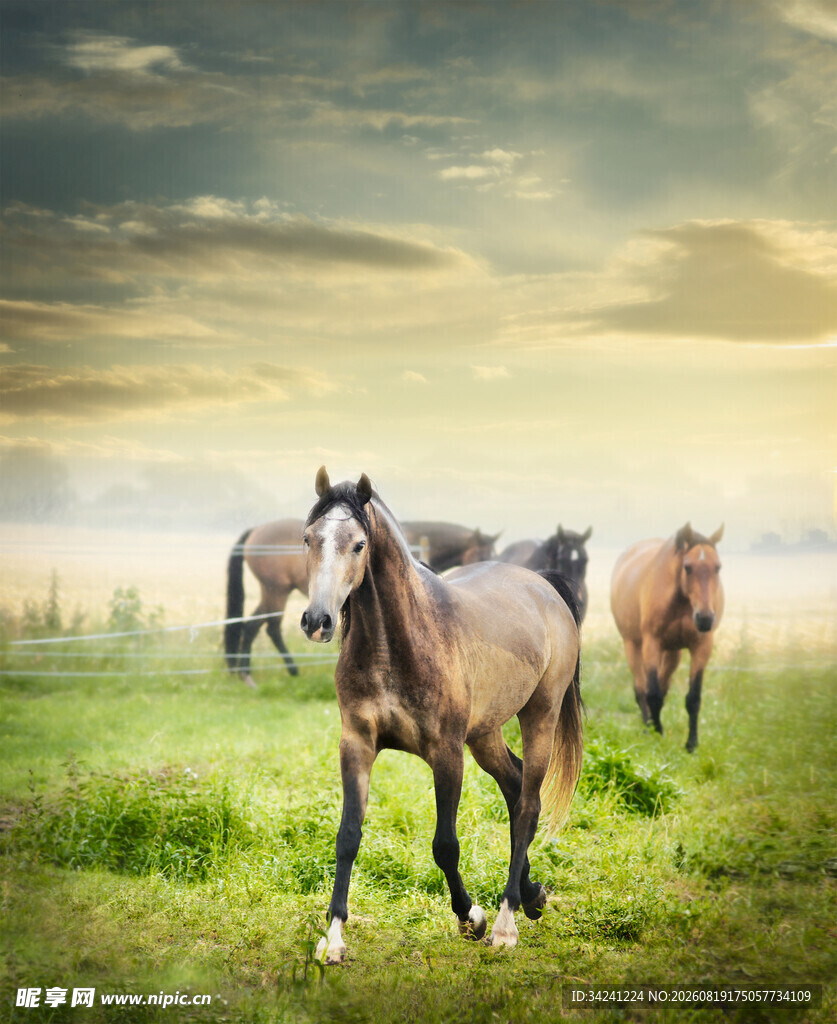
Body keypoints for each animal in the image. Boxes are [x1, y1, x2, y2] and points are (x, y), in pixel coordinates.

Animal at [224, 519, 307, 684]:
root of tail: (256, 530)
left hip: (269, 593)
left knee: (251, 626)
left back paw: (245, 674)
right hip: (276, 591)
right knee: (272, 629)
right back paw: (292, 670)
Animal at [300, 468, 583, 962]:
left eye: (358, 544)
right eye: (308, 538)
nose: (318, 621)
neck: (397, 644)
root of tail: (544, 586)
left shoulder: (446, 753)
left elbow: (445, 845)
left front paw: (472, 917)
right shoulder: (357, 744)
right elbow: (348, 837)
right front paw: (333, 938)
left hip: (540, 716)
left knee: (529, 804)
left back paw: (507, 920)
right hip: (485, 734)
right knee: (514, 785)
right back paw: (532, 896)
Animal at [610, 522, 724, 752]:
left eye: (717, 567)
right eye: (687, 567)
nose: (705, 618)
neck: (681, 600)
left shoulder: (702, 647)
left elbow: (693, 698)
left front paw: (691, 744)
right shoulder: (651, 643)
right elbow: (652, 693)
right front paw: (657, 733)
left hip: (673, 652)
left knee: (662, 685)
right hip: (632, 644)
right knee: (641, 688)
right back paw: (648, 726)